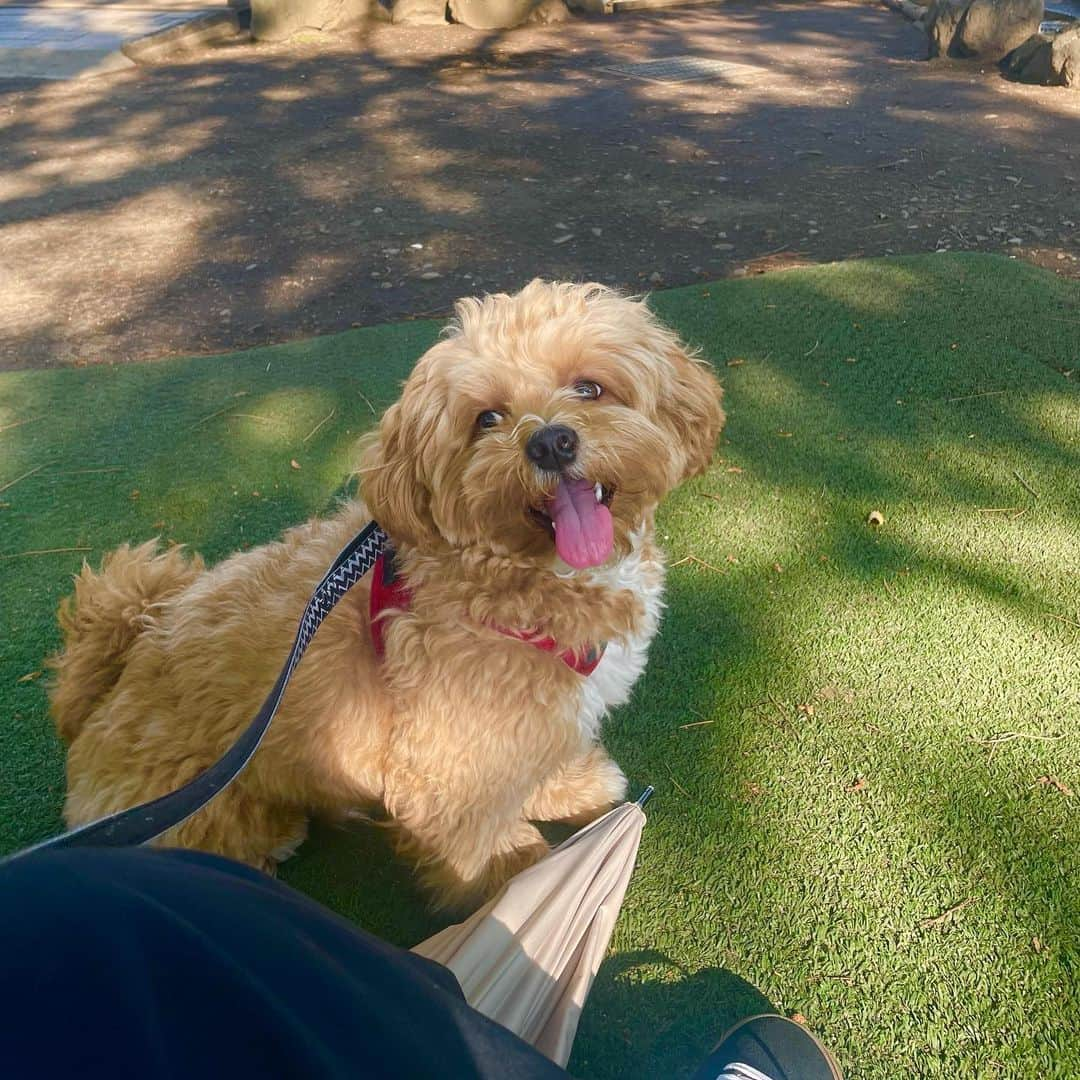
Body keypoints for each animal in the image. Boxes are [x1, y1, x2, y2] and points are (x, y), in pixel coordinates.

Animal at [52, 282, 725, 907]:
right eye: (487, 419)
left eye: (589, 388)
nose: (551, 442)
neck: (514, 579)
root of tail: (112, 683)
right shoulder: (447, 763)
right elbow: (478, 842)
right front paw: (518, 888)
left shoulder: (534, 721)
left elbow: (540, 762)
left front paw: (572, 787)